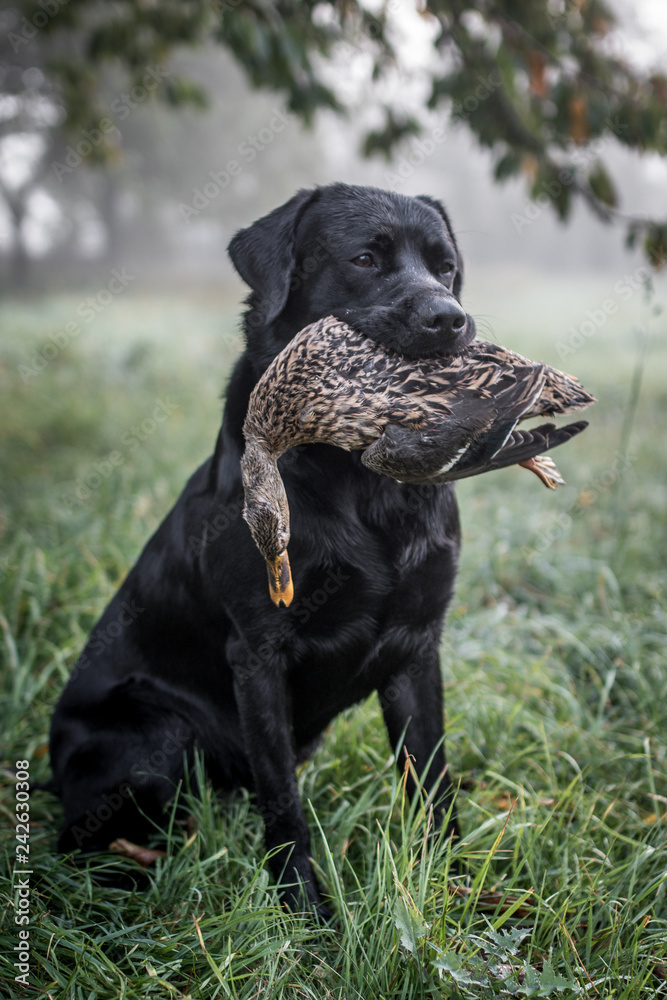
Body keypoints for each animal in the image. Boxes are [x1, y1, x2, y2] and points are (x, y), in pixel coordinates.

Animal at [51, 184, 474, 916]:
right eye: (364, 259)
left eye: (444, 267)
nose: (449, 319)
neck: (360, 481)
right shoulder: (258, 652)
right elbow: (283, 801)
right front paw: (304, 908)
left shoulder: (417, 645)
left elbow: (431, 778)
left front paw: (449, 883)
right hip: (158, 730)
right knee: (81, 841)